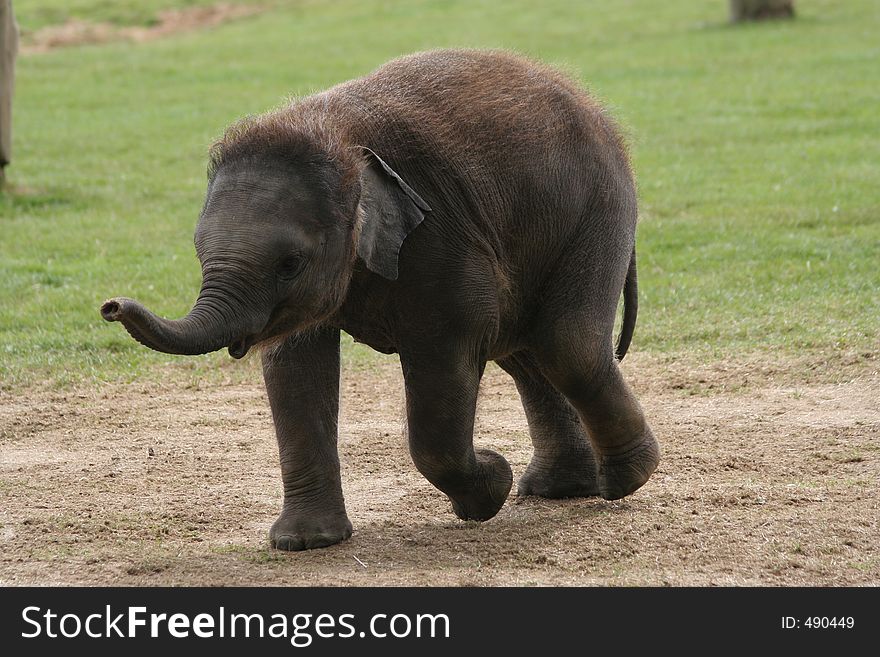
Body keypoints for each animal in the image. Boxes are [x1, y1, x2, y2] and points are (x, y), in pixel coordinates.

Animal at [99, 48, 656, 548]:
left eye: (289, 264)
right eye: (198, 254)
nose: (110, 306)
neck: (334, 137)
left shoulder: (442, 238)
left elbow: (445, 355)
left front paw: (489, 486)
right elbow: (294, 368)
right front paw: (305, 543)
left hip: (599, 208)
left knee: (565, 346)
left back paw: (620, 482)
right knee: (527, 352)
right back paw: (559, 490)